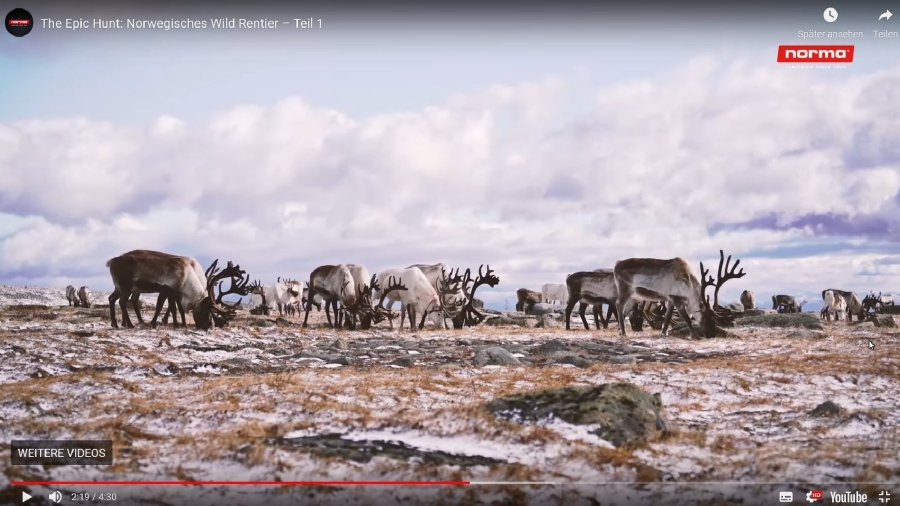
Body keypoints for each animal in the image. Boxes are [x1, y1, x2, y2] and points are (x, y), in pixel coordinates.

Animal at [107, 250, 250, 330]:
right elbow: (161, 307)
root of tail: (111, 262)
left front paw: (180, 324)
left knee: (112, 298)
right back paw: (129, 324)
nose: (207, 327)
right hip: (126, 286)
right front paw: (153, 323)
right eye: (206, 310)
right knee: (123, 302)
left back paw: (116, 324)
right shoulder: (166, 289)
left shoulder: (175, 293)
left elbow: (177, 309)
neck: (187, 275)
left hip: (120, 287)